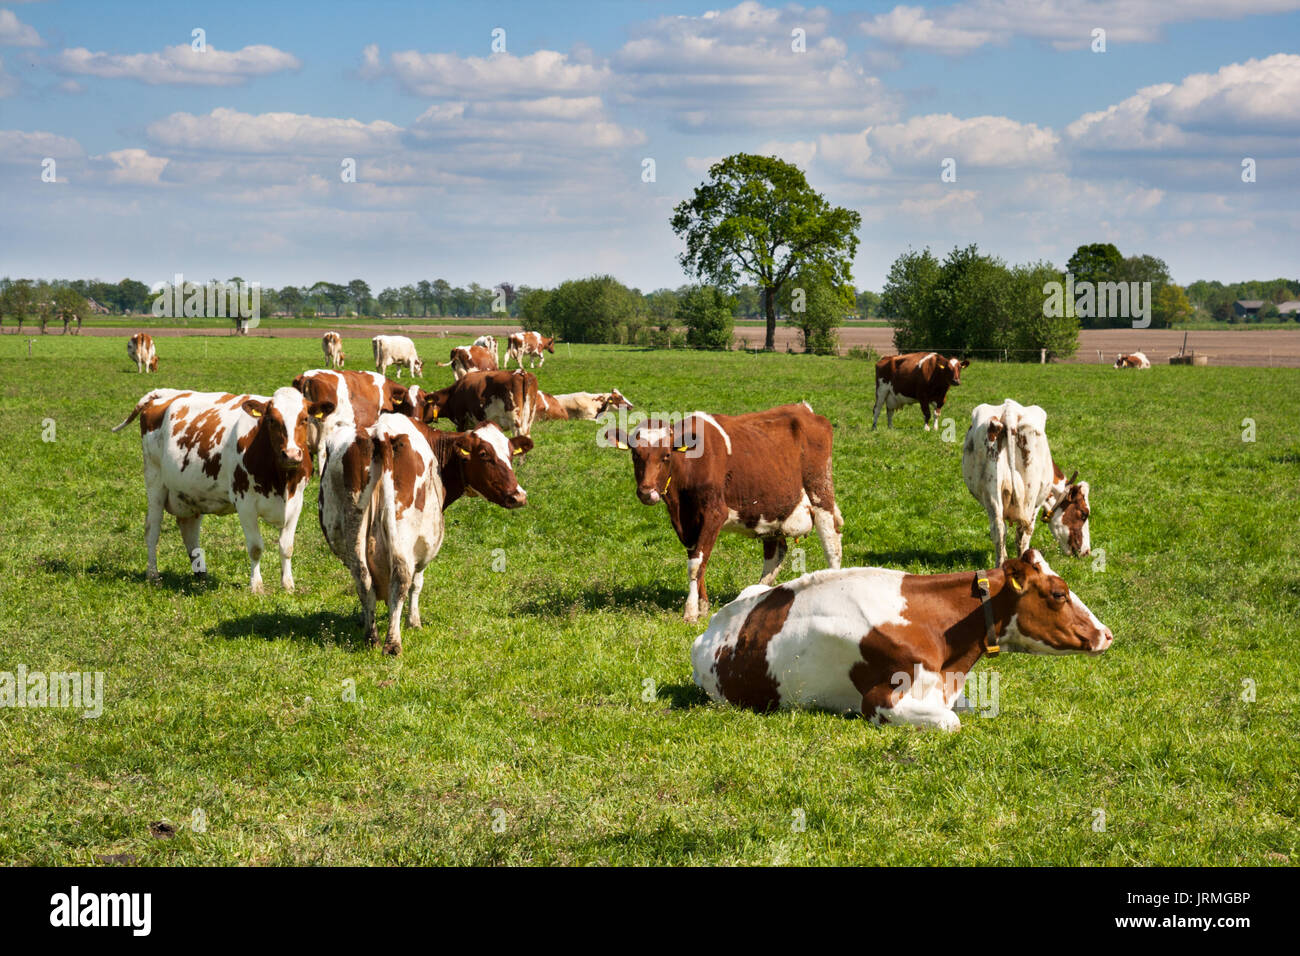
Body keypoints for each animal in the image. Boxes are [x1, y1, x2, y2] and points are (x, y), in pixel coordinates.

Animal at [110, 387, 333, 592]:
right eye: (271, 420)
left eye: (304, 418)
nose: (292, 454)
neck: (282, 482)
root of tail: (166, 393)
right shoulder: (245, 503)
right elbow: (256, 547)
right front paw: (256, 586)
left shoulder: (297, 502)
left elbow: (287, 547)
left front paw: (288, 585)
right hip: (154, 481)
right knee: (152, 530)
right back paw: (153, 575)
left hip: (191, 493)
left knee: (189, 530)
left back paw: (201, 574)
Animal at [318, 416, 530, 654]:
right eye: (484, 454)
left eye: (511, 453)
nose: (519, 496)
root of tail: (381, 432)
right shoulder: (421, 549)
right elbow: (416, 583)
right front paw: (414, 623)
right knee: (401, 579)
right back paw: (392, 644)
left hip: (352, 526)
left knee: (363, 578)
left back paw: (372, 639)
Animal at [606, 403, 843, 623]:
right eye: (635, 455)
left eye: (665, 456)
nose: (647, 493)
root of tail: (804, 408)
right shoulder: (686, 522)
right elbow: (697, 559)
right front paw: (702, 607)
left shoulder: (714, 513)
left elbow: (695, 565)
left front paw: (690, 612)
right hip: (772, 509)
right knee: (776, 553)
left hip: (820, 492)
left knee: (832, 544)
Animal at [961, 399, 1092, 564]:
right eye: (1084, 514)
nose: (1087, 552)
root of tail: (1010, 412)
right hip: (1030, 497)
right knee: (1024, 532)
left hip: (992, 491)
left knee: (999, 529)